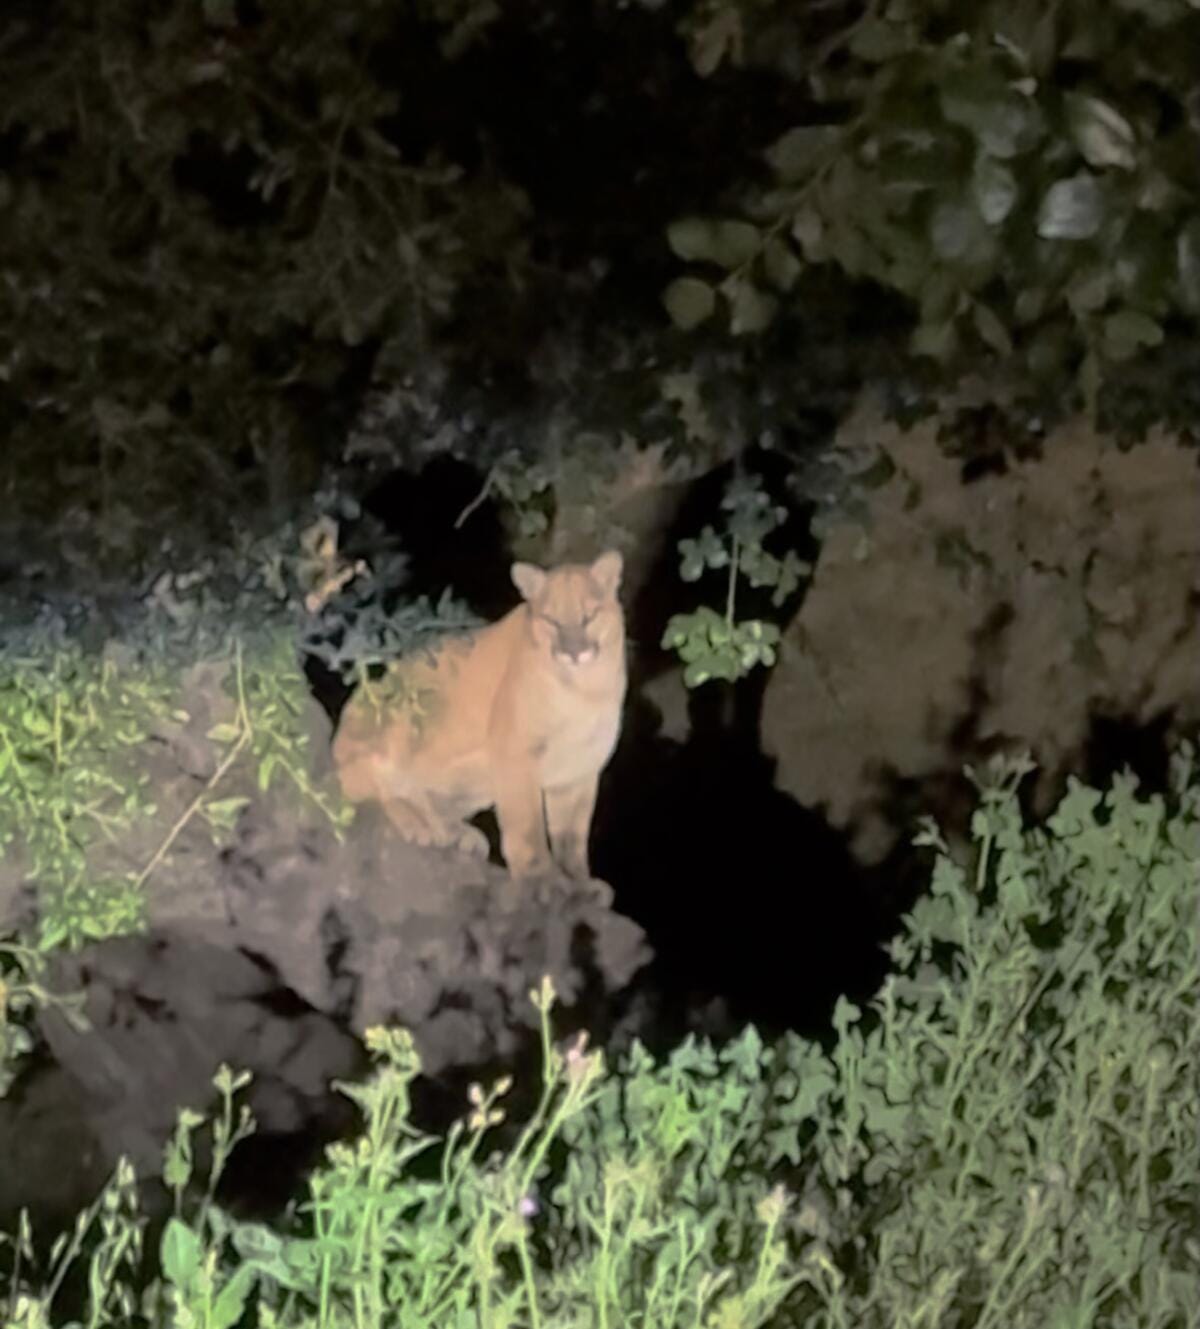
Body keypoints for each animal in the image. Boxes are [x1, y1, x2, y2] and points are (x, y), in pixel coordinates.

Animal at [330, 552, 629, 882]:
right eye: (551, 620)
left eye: (590, 616)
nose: (573, 652)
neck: (585, 688)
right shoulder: (516, 751)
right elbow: (528, 823)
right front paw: (539, 876)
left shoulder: (579, 768)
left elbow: (571, 836)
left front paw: (578, 881)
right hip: (397, 710)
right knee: (368, 784)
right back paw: (416, 820)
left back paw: (454, 831)